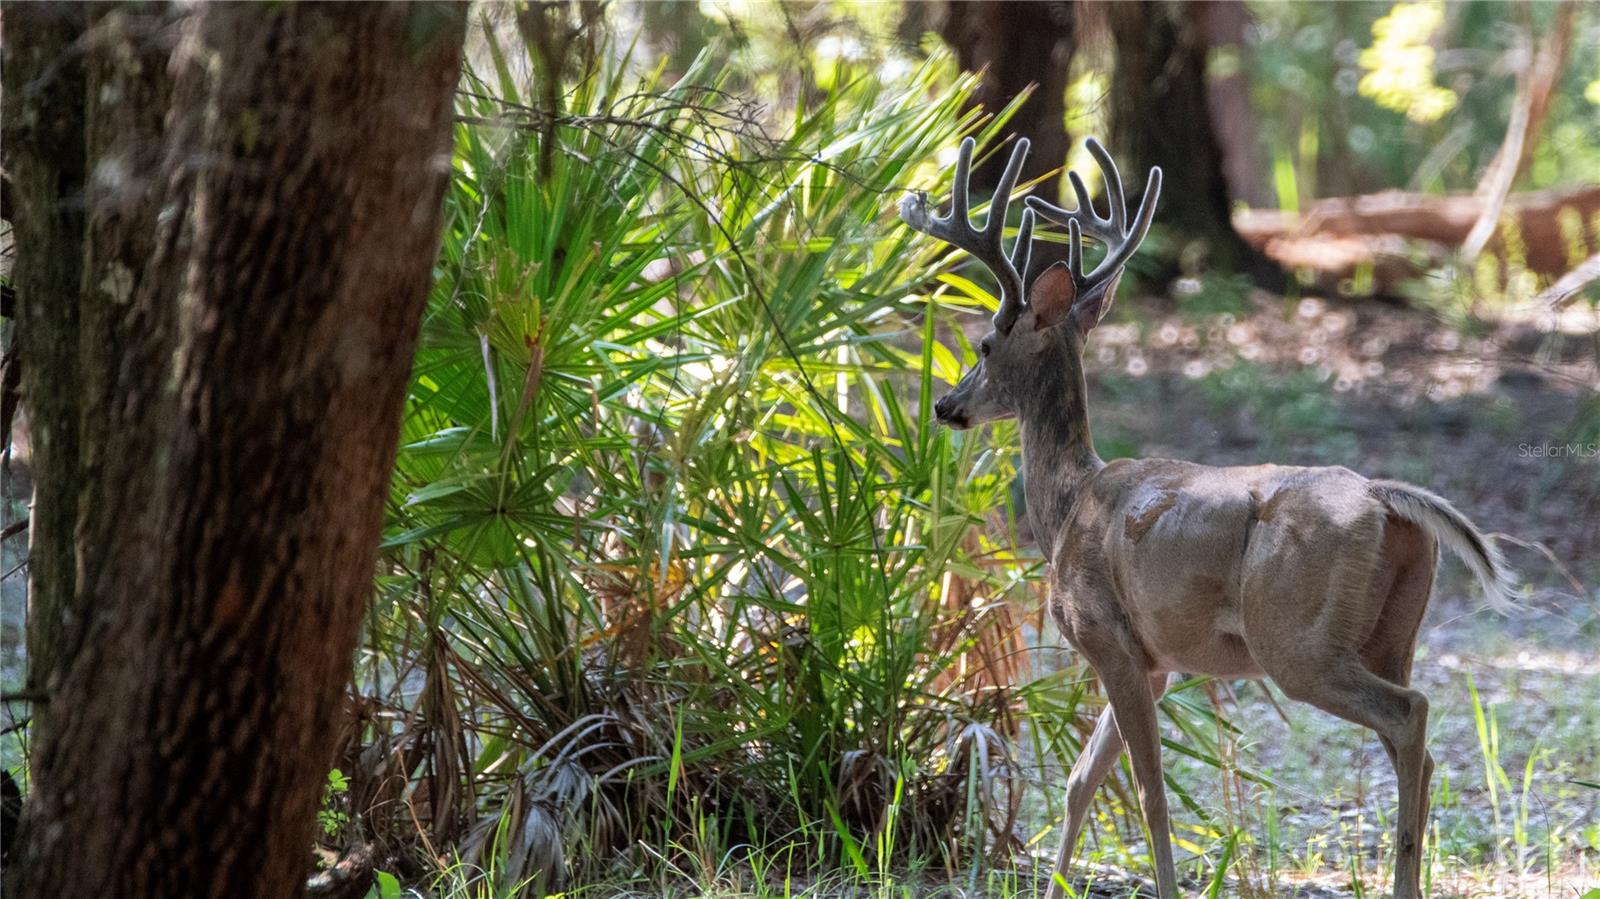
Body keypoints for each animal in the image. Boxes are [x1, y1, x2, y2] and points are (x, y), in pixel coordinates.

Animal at [902, 134, 1510, 895]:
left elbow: (1149, 793)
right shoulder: (1155, 660)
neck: (1067, 506)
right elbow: (1079, 780)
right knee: (1419, 743)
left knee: (1411, 713)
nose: (946, 405)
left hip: (1296, 637)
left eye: (986, 343)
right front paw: (1057, 883)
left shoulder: (1107, 635)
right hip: (1395, 629)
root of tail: (1381, 498)